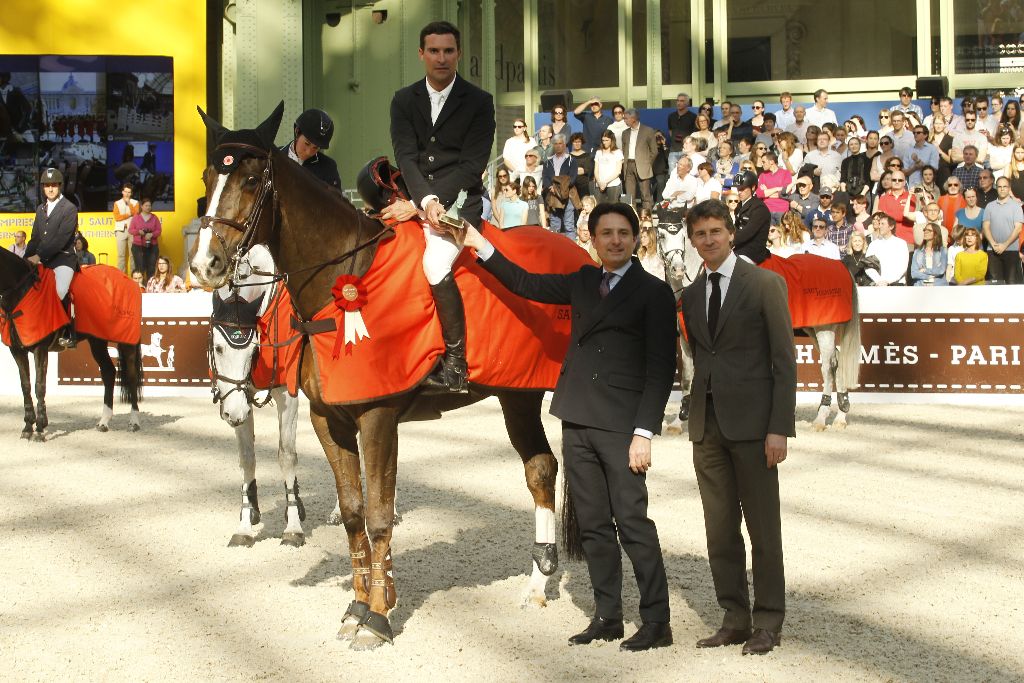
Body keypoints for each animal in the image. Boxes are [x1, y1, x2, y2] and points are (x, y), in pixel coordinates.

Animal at [0, 249, 145, 438]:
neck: (22, 292)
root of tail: (129, 280)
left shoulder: (40, 349)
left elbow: (40, 385)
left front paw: (40, 429)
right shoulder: (17, 350)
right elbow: (25, 385)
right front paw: (27, 428)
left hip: (126, 340)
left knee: (132, 376)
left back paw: (134, 422)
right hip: (97, 340)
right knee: (108, 372)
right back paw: (103, 422)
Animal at [209, 242, 342, 548]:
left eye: (253, 348)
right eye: (218, 347)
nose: (232, 413)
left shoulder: (287, 396)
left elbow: (286, 456)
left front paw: (293, 526)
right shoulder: (241, 397)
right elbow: (247, 458)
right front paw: (246, 524)